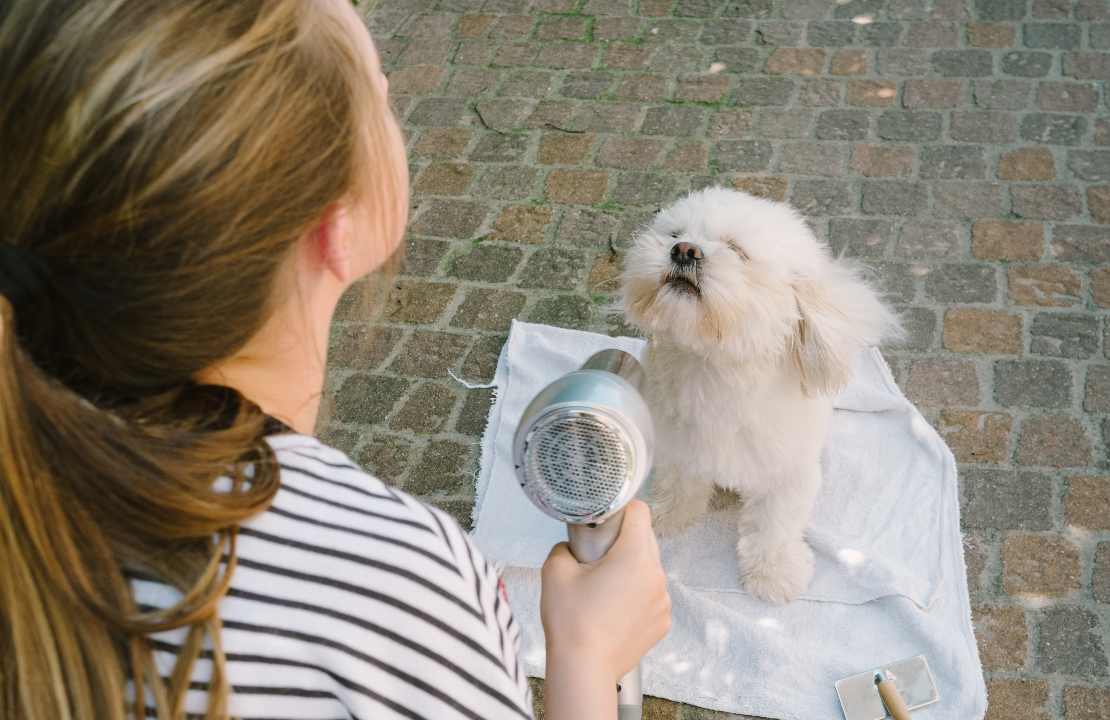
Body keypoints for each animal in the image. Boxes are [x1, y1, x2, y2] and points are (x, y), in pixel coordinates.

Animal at [621, 185, 896, 599]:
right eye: (674, 234)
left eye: (737, 250)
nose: (684, 250)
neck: (718, 369)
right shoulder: (680, 446)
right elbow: (679, 483)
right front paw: (669, 514)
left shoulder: (786, 474)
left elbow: (774, 527)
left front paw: (774, 573)